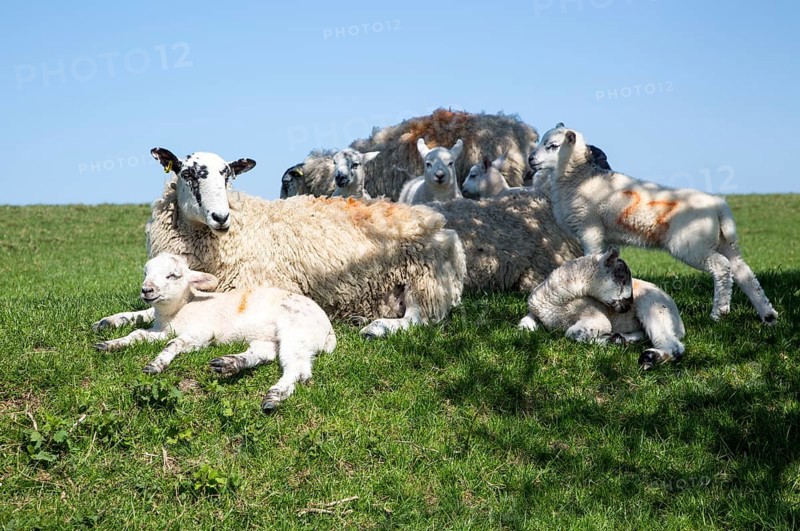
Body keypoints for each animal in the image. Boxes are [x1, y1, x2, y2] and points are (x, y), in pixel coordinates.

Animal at [94, 148, 466, 339]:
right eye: (187, 173)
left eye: (227, 174)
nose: (220, 216)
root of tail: (442, 226)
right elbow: (146, 311)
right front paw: (113, 320)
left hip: (423, 279)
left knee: (420, 319)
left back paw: (376, 327)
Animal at [94, 253, 336, 410]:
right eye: (146, 272)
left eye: (173, 275)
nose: (147, 290)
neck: (180, 309)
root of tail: (329, 331)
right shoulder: (162, 329)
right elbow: (137, 334)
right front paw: (109, 344)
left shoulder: (202, 332)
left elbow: (174, 344)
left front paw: (155, 365)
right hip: (267, 337)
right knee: (263, 354)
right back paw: (229, 363)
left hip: (297, 332)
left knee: (299, 369)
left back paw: (274, 397)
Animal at [518, 247, 686, 370]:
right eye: (622, 277)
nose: (629, 304)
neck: (557, 303)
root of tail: (679, 322)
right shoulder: (534, 313)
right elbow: (523, 327)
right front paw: (615, 339)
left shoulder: (593, 315)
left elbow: (571, 333)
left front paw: (608, 339)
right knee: (644, 334)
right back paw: (626, 340)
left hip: (653, 307)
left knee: (675, 346)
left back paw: (649, 358)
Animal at [529, 123, 778, 324]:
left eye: (552, 146)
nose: (531, 159)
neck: (579, 178)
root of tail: (718, 205)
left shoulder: (590, 229)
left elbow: (591, 258)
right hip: (724, 241)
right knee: (743, 272)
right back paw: (768, 315)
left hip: (692, 244)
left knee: (722, 267)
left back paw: (719, 313)